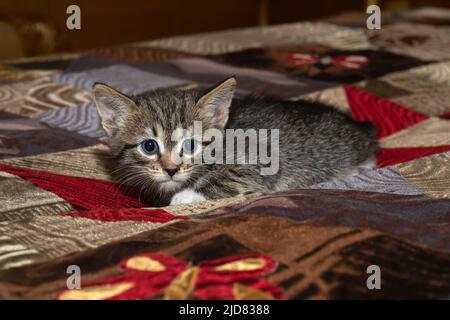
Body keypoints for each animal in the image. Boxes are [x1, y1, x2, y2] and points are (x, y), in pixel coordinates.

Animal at [93, 78, 378, 208]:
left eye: (191, 145)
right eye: (149, 147)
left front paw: (183, 196)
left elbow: (226, 179)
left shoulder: (258, 161)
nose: (171, 170)